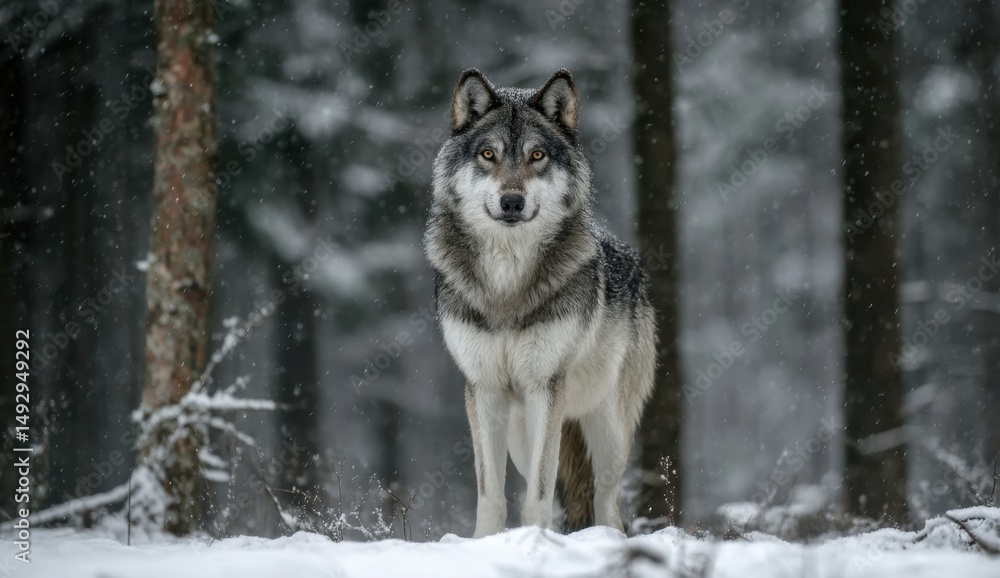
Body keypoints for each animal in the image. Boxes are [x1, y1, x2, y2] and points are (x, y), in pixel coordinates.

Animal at [424, 68, 657, 537]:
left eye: (536, 155)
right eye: (489, 154)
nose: (511, 201)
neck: (506, 281)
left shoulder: (546, 386)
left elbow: (539, 494)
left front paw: (537, 540)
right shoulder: (484, 389)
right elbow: (491, 493)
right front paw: (485, 542)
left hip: (606, 429)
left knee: (607, 501)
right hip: (520, 433)